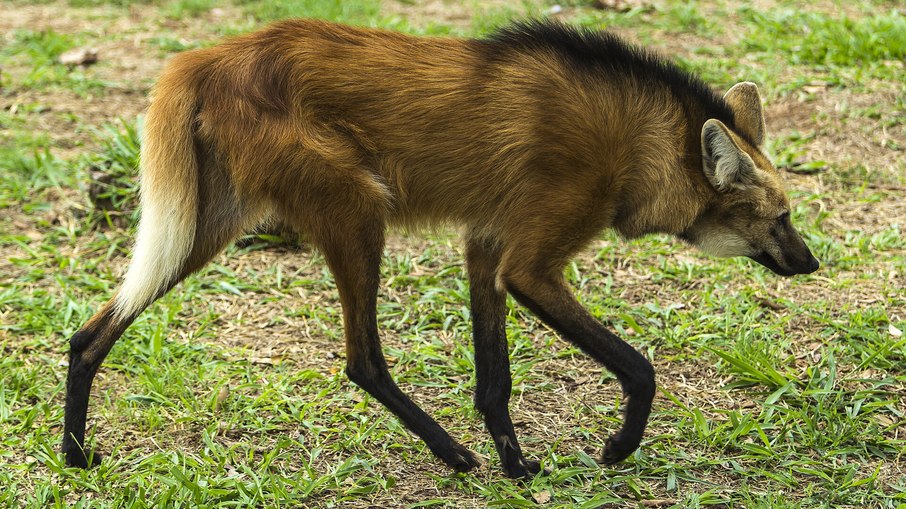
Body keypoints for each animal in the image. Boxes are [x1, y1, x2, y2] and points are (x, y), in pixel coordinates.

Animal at [62, 19, 819, 477]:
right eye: (780, 217)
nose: (811, 261)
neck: (639, 144)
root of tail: (205, 57)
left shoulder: (486, 245)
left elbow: (494, 377)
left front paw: (517, 467)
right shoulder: (529, 264)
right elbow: (639, 368)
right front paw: (614, 447)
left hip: (205, 227)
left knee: (91, 332)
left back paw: (74, 453)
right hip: (357, 209)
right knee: (363, 360)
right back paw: (452, 455)